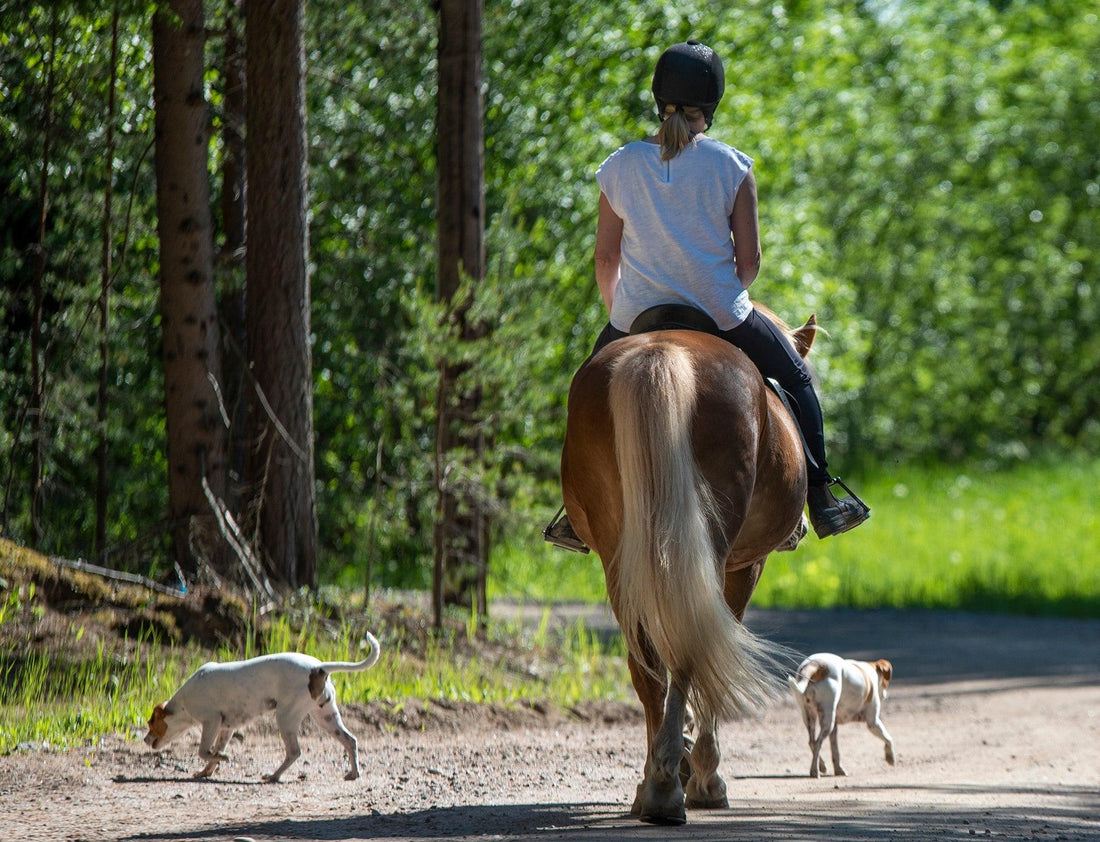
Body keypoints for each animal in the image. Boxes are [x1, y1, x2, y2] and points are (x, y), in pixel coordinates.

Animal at [145, 629, 382, 783]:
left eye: (150, 723)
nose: (145, 739)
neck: (182, 704)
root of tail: (318, 668)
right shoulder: (226, 728)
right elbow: (213, 752)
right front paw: (207, 770)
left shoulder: (211, 722)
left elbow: (204, 751)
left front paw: (222, 758)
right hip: (326, 718)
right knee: (350, 740)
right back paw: (354, 773)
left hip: (286, 718)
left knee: (294, 752)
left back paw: (274, 776)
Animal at [558, 308, 818, 823]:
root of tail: (661, 355)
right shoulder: (745, 566)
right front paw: (703, 774)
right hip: (710, 554)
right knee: (690, 649)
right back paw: (671, 786)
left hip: (620, 559)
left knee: (648, 664)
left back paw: (653, 782)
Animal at [783, 651, 893, 779]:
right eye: (886, 682)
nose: (885, 696)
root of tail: (816, 664)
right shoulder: (873, 722)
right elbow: (889, 738)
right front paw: (890, 757)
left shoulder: (835, 727)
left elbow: (835, 751)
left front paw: (839, 770)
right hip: (827, 723)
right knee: (818, 744)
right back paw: (815, 771)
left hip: (810, 717)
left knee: (812, 742)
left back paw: (821, 766)